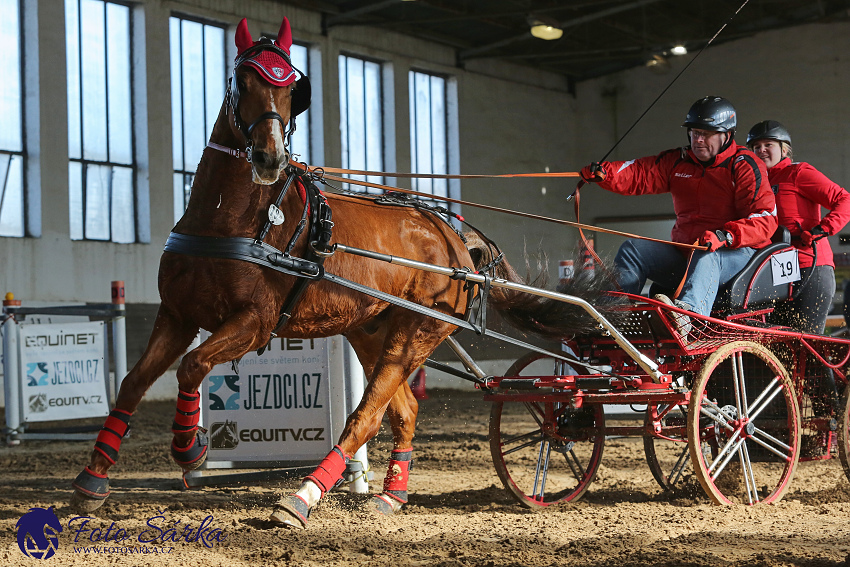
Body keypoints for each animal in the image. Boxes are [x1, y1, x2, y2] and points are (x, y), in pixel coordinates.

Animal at [71, 18, 616, 532]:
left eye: (293, 87)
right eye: (243, 79)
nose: (270, 157)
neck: (231, 219)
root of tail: (454, 238)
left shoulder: (255, 323)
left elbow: (192, 365)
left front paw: (191, 447)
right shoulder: (177, 314)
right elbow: (134, 383)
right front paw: (93, 479)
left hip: (417, 332)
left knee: (366, 417)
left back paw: (301, 499)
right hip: (371, 330)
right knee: (404, 410)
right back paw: (390, 495)